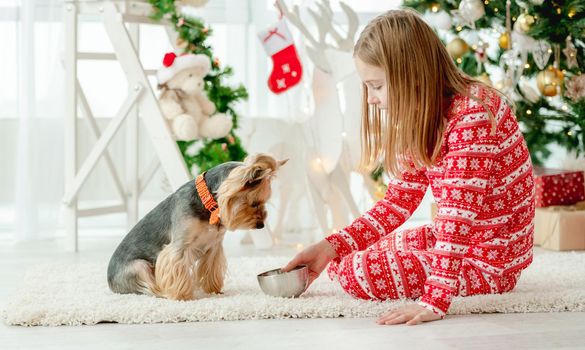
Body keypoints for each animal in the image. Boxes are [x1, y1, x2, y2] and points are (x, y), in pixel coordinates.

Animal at [108, 154, 288, 300]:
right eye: (255, 203)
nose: (261, 225)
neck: (208, 205)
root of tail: (109, 283)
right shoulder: (179, 247)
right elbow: (176, 267)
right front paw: (182, 296)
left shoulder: (214, 246)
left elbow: (211, 269)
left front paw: (214, 290)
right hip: (139, 267)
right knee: (148, 287)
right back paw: (163, 292)